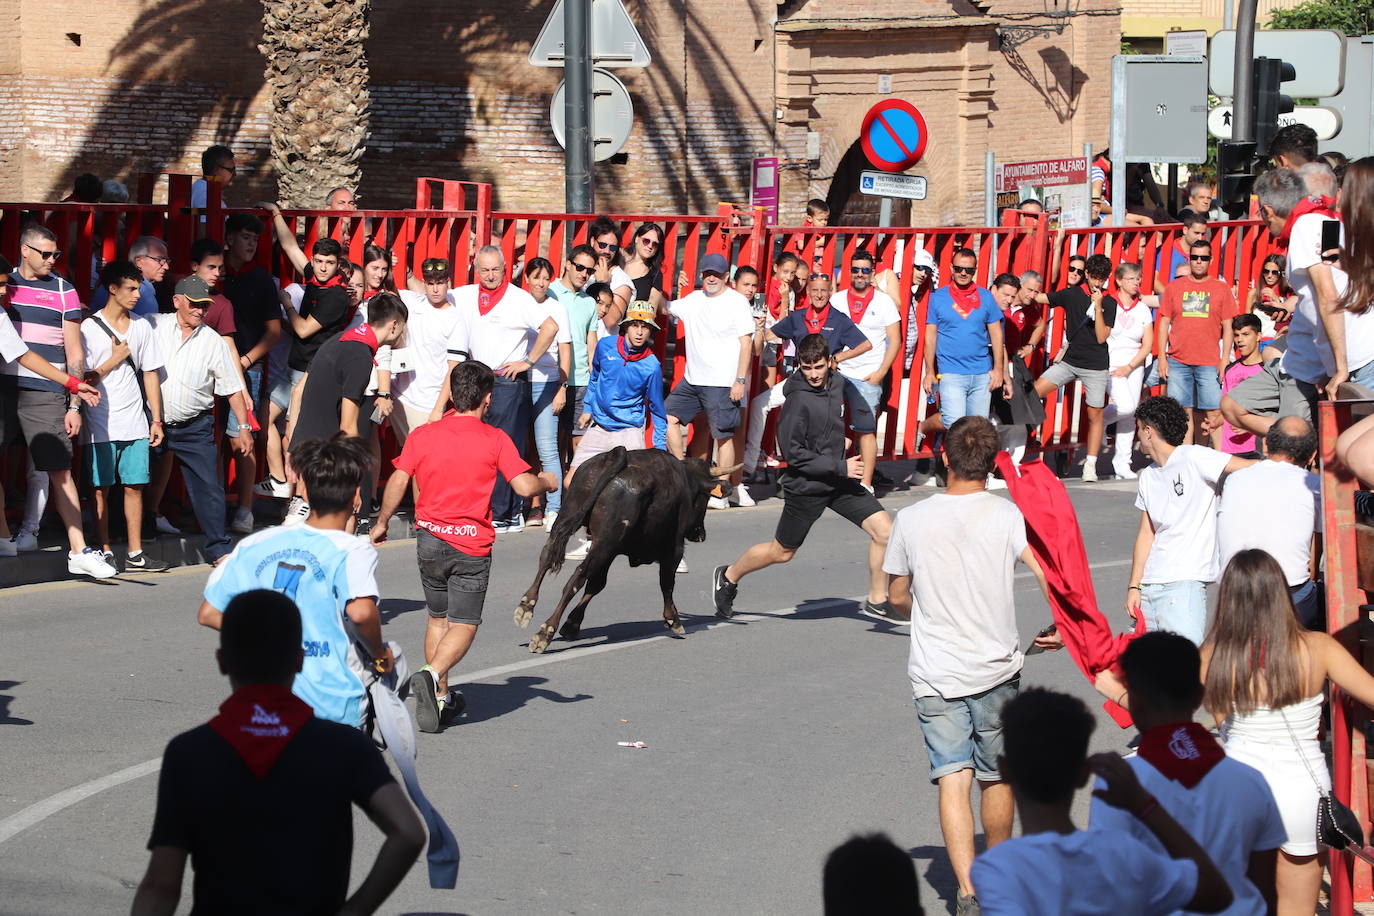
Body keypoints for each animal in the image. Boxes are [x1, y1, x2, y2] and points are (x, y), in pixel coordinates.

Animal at [511, 450, 736, 650]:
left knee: (548, 556)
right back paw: (545, 632)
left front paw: (572, 624)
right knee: (576, 578)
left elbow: (597, 585)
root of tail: (615, 454)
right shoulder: (673, 549)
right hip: (605, 541)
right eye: (706, 498)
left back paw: (526, 606)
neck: (685, 479)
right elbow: (667, 583)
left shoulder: (612, 551)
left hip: (571, 519)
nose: (700, 534)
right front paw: (673, 619)